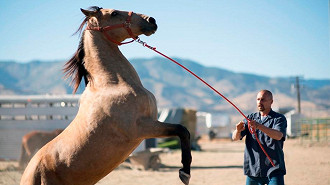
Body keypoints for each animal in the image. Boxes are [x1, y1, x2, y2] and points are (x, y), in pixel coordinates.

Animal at [20, 6, 191, 184]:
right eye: (114, 13)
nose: (151, 20)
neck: (112, 84)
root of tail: (28, 174)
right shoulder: (141, 127)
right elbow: (182, 130)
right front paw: (184, 173)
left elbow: (184, 131)